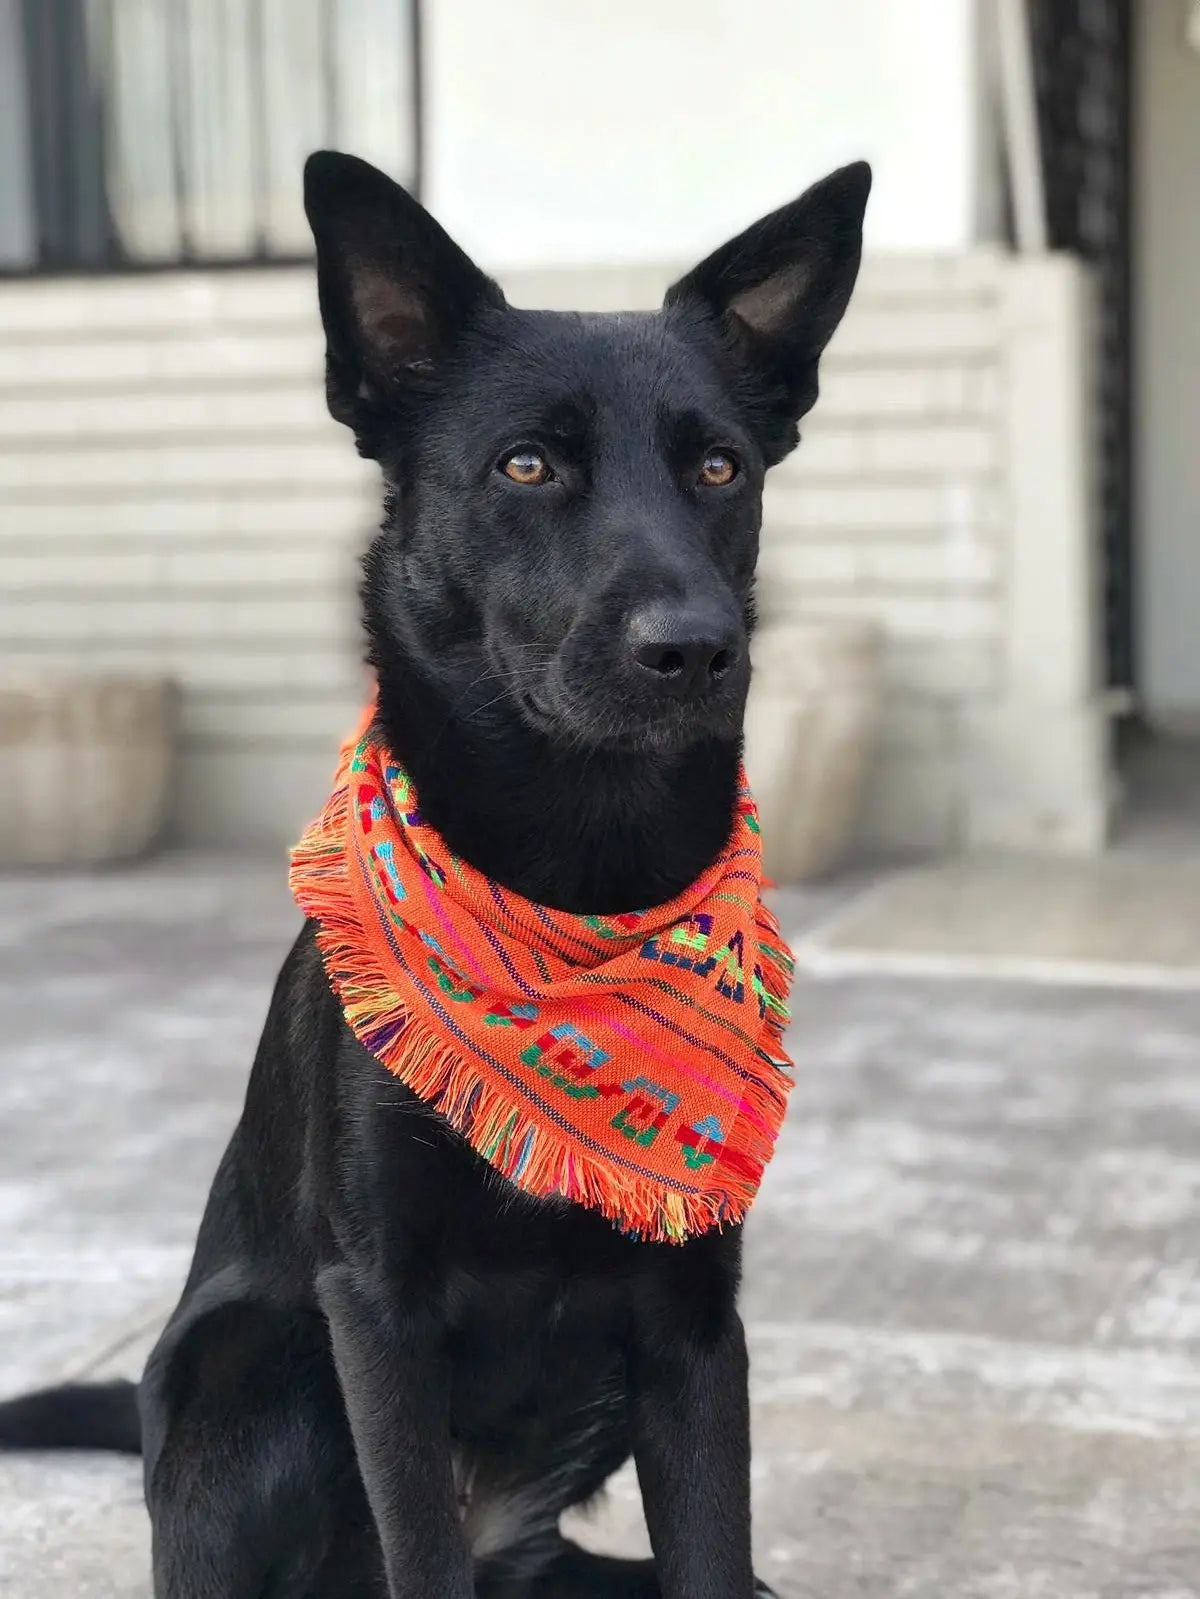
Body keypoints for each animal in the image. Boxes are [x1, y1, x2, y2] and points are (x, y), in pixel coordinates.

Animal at [0, 152, 864, 1599]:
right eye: (527, 463)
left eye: (719, 465)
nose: (695, 648)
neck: (573, 879)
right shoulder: (376, 1307)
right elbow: (419, 1539)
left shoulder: (697, 1327)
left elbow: (713, 1548)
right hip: (260, 1367)